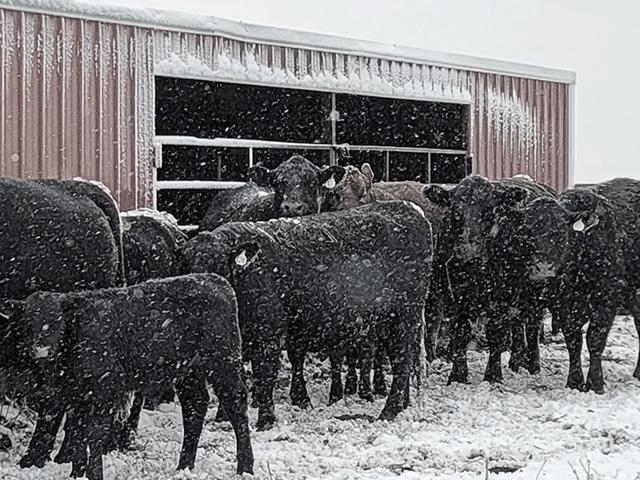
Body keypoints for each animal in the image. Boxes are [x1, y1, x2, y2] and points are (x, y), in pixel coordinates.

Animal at [13, 274, 252, 480]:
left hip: (223, 364)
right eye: (27, 322)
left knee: (236, 405)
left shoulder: (105, 391)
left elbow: (94, 434)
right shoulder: (76, 396)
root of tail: (218, 281)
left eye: (57, 320)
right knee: (195, 407)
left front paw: (94, 474)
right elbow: (77, 432)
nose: (41, 350)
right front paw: (76, 473)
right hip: (189, 373)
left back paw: (245, 467)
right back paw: (184, 466)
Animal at [185, 201, 436, 430]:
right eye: (187, 268)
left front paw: (266, 420)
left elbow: (265, 375)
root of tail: (410, 208)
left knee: (402, 361)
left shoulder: (268, 334)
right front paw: (222, 416)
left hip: (404, 318)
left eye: (217, 267)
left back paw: (389, 411)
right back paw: (402, 405)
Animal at [422, 174, 556, 384]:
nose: (468, 252)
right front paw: (458, 376)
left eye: (490, 212)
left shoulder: (501, 297)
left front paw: (493, 376)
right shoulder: (456, 296)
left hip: (538, 288)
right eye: (456, 212)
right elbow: (460, 333)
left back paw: (533, 364)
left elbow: (496, 333)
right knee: (519, 325)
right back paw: (516, 361)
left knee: (533, 325)